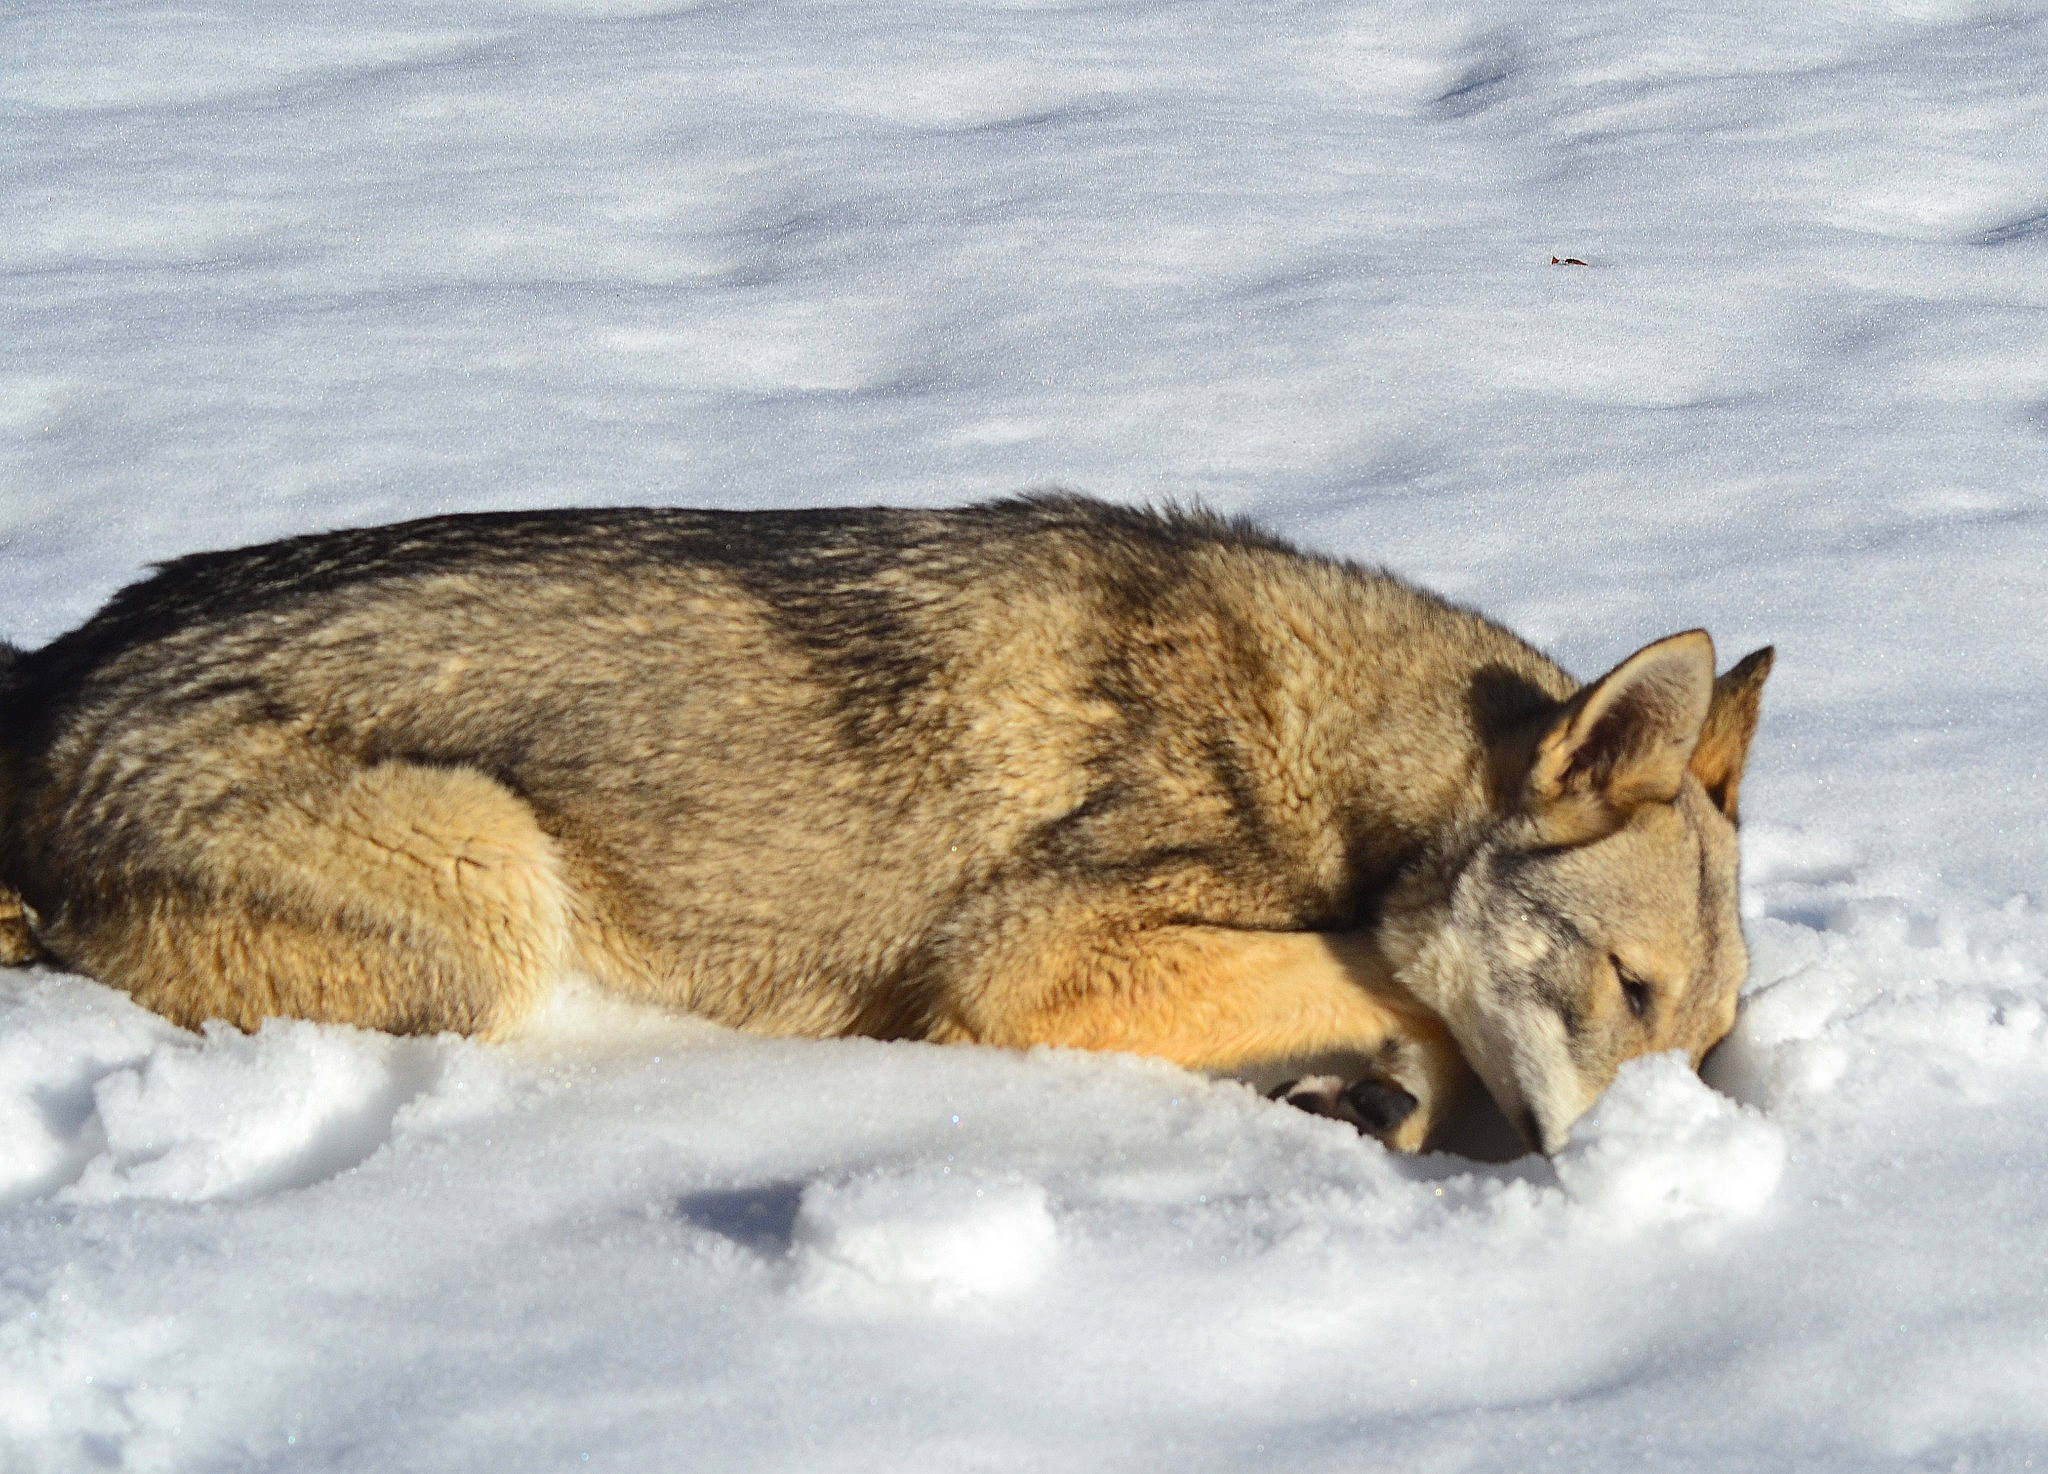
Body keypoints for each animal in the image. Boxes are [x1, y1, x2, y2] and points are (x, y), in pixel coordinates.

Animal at [0, 495, 1770, 1154]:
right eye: (1621, 989)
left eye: (1701, 1044)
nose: (1655, 1163)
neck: (1327, 754)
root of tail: (53, 683)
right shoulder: (1025, 961)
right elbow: (1377, 972)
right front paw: (1393, 1077)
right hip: (493, 884)